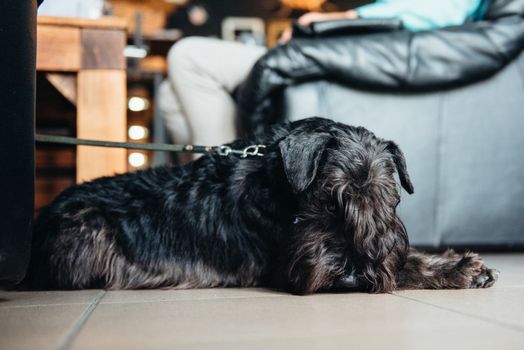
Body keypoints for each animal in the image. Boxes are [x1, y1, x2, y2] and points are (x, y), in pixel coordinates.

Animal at [24, 119, 498, 294]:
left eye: (390, 201)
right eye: (327, 201)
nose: (350, 279)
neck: (277, 183)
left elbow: (402, 257)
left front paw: (463, 264)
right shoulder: (282, 263)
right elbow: (403, 265)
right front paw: (459, 269)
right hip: (89, 227)